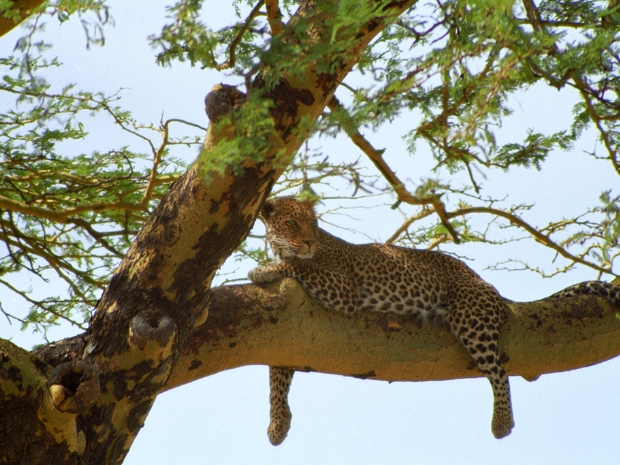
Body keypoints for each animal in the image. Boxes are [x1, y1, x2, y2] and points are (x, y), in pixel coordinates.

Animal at [248, 194, 620, 444]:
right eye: (293, 223)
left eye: (314, 224)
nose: (310, 241)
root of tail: (492, 288)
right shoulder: (291, 332)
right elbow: (275, 376)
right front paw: (278, 424)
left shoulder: (343, 288)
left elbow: (301, 266)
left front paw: (262, 270)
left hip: (471, 316)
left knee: (499, 372)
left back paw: (502, 422)